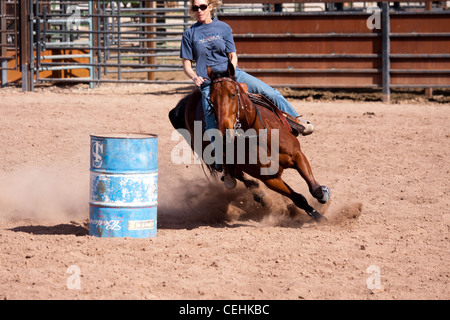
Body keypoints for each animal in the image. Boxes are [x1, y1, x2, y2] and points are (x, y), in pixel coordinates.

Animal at [169, 62, 330, 222]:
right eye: (211, 100)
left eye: (233, 94)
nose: (224, 130)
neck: (260, 137)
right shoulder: (270, 179)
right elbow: (298, 198)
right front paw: (318, 216)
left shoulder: (297, 155)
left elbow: (315, 189)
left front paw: (324, 194)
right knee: (237, 175)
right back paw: (256, 194)